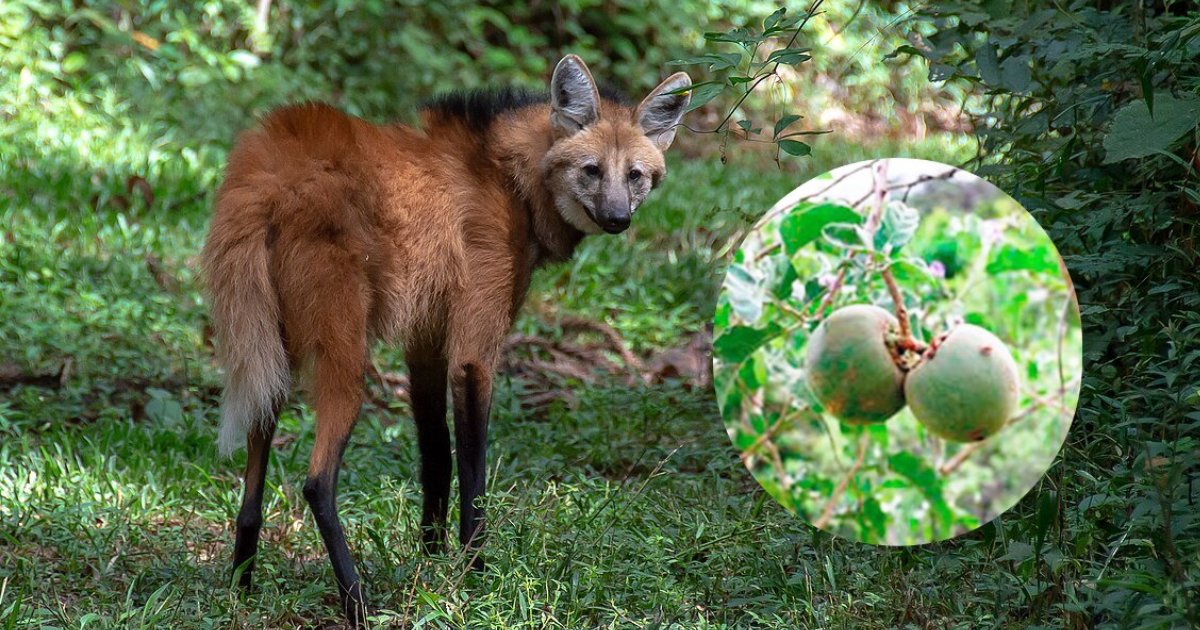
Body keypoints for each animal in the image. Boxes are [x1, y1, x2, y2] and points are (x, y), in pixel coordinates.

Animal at [200, 54, 690, 624]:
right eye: (591, 170)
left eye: (635, 176)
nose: (618, 218)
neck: (513, 182)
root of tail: (264, 170)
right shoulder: (474, 352)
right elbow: (473, 476)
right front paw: (476, 578)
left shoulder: (426, 343)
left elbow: (436, 457)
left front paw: (429, 563)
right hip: (344, 354)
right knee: (318, 482)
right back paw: (356, 603)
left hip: (268, 347)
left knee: (253, 480)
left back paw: (241, 586)